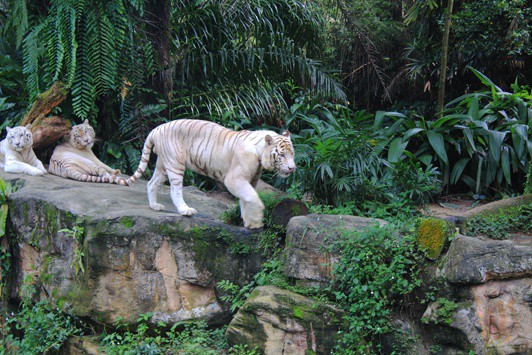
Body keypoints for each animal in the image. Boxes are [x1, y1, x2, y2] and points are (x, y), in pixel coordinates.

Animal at [127, 119, 298, 231]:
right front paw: (257, 218)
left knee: (151, 183)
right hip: (175, 163)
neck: (259, 154)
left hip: (163, 164)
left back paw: (155, 206)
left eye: (292, 154)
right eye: (282, 155)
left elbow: (246, 200)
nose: (292, 168)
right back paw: (185, 210)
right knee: (175, 190)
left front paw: (251, 223)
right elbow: (253, 197)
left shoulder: (250, 181)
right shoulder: (234, 179)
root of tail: (157, 128)